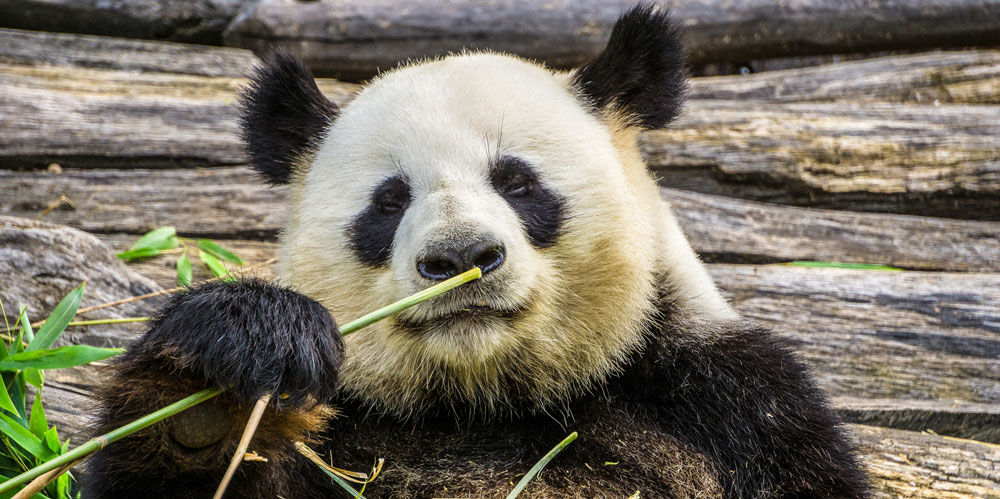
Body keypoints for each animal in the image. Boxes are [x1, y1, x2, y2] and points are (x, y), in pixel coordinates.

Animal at [85, 6, 868, 498]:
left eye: (518, 182)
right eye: (389, 200)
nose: (459, 256)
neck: (483, 402)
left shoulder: (726, 406)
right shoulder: (347, 430)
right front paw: (221, 379)